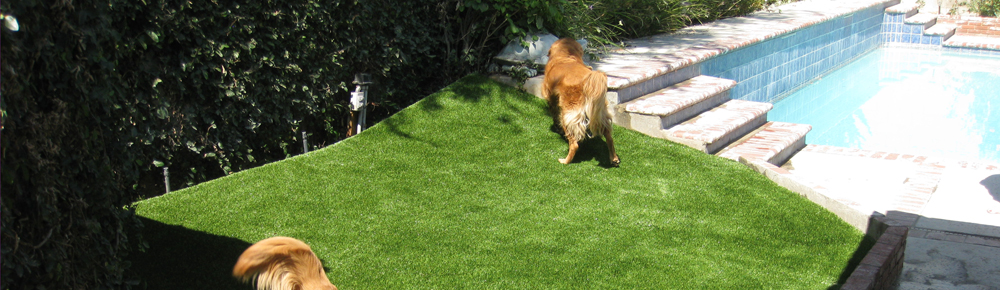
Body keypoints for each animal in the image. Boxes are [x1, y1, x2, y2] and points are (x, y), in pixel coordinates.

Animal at [544, 37, 620, 167]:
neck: (566, 56)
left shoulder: (551, 98)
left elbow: (553, 114)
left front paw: (556, 128)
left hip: (567, 116)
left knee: (574, 144)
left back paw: (565, 161)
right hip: (601, 114)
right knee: (610, 138)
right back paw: (614, 159)